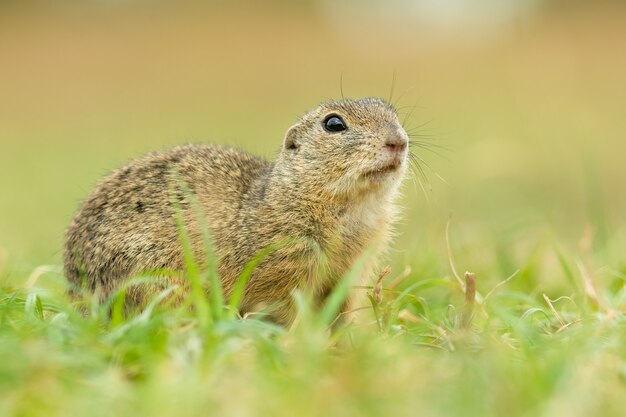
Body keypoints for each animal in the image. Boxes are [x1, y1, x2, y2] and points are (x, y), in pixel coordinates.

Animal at [64, 97, 410, 324]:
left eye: (394, 115)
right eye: (334, 124)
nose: (398, 141)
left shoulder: (351, 275)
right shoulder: (280, 272)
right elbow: (283, 310)